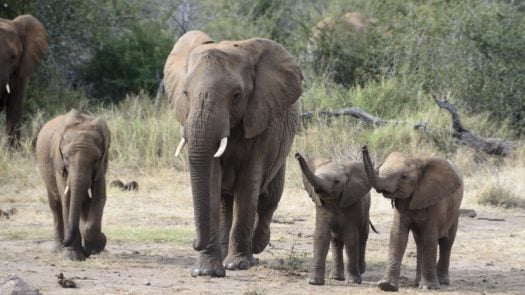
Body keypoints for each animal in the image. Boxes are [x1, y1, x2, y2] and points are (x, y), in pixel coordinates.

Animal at [35, 109, 110, 262]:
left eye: (95, 159)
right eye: (66, 157)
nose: (66, 243)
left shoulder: (102, 166)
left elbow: (99, 197)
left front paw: (96, 246)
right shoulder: (58, 163)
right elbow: (67, 199)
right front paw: (74, 257)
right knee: (56, 205)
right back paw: (58, 248)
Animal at [164, 30, 302, 278]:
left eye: (237, 95)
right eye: (185, 93)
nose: (194, 243)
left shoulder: (261, 121)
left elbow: (248, 185)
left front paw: (237, 265)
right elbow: (211, 180)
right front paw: (206, 271)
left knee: (269, 198)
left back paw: (256, 247)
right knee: (225, 202)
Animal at [294, 154, 372, 286]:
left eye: (337, 181)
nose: (297, 155)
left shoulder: (352, 204)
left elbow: (351, 238)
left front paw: (354, 281)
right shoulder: (321, 206)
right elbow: (321, 235)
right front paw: (314, 282)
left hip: (366, 214)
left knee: (362, 238)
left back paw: (361, 270)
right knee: (336, 241)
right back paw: (336, 277)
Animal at [360, 146, 462, 292]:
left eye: (403, 177)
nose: (364, 147)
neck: (417, 160)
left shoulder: (435, 201)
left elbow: (429, 237)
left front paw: (429, 288)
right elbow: (398, 235)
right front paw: (386, 286)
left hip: (454, 211)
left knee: (446, 241)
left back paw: (442, 282)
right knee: (420, 242)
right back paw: (417, 282)